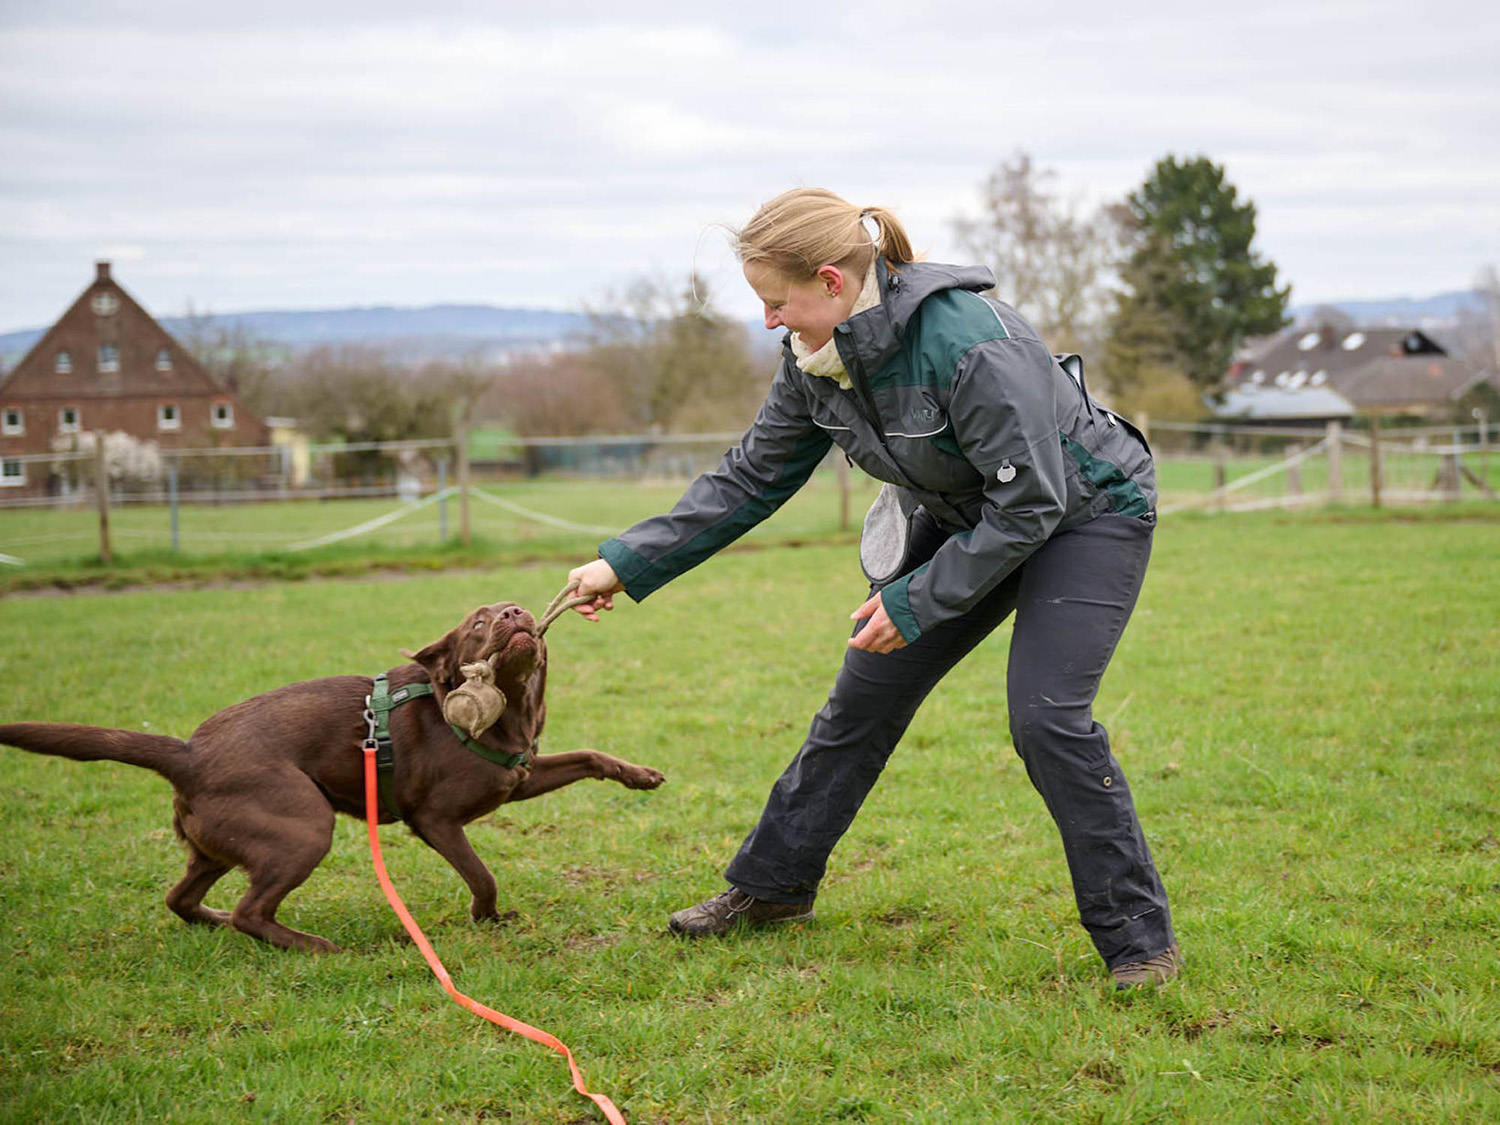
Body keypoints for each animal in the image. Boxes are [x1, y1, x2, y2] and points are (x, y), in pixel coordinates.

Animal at [0, 603, 663, 954]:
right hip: (303, 826)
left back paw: (217, 921)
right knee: (251, 909)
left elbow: (588, 755)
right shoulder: (435, 820)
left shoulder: (519, 777)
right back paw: (316, 947)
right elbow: (483, 874)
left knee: (182, 898)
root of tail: (187, 752)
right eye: (477, 624)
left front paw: (639, 774)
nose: (512, 612)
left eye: (514, 605)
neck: (503, 712)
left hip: (218, 843)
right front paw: (486, 919)